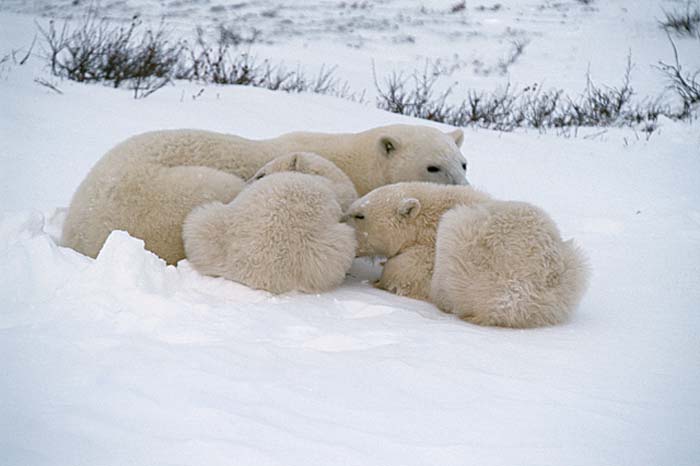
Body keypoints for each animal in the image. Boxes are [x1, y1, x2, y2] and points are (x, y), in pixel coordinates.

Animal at [348, 182, 588, 328]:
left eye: (360, 215)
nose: (343, 218)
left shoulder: (430, 247)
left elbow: (408, 271)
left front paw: (380, 280)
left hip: (468, 247)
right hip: (571, 269)